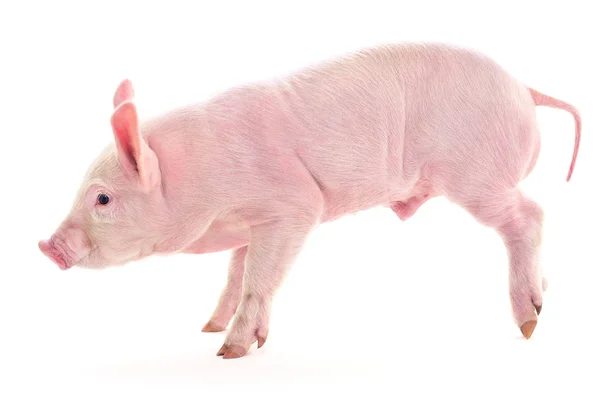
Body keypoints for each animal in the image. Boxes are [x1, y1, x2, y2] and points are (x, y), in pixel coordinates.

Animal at [38, 42, 580, 358]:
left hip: (474, 175)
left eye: (102, 199)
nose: (47, 246)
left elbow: (259, 278)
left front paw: (229, 352)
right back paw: (544, 293)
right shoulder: (250, 226)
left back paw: (528, 324)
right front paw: (210, 328)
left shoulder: (293, 205)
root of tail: (524, 89)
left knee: (530, 215)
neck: (198, 183)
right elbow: (238, 275)